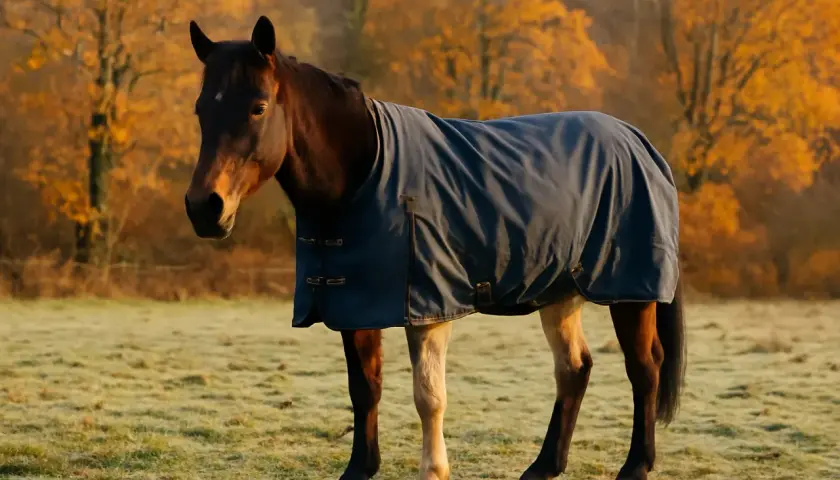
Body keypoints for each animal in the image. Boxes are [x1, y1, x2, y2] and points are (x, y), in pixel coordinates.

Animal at [184, 16, 686, 480]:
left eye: (258, 107)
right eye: (200, 110)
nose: (205, 207)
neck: (365, 174)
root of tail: (640, 142)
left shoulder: (428, 308)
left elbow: (429, 397)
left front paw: (434, 469)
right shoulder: (355, 304)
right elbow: (364, 387)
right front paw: (360, 468)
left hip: (629, 292)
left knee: (644, 367)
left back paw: (635, 466)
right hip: (560, 290)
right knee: (574, 368)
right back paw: (544, 466)